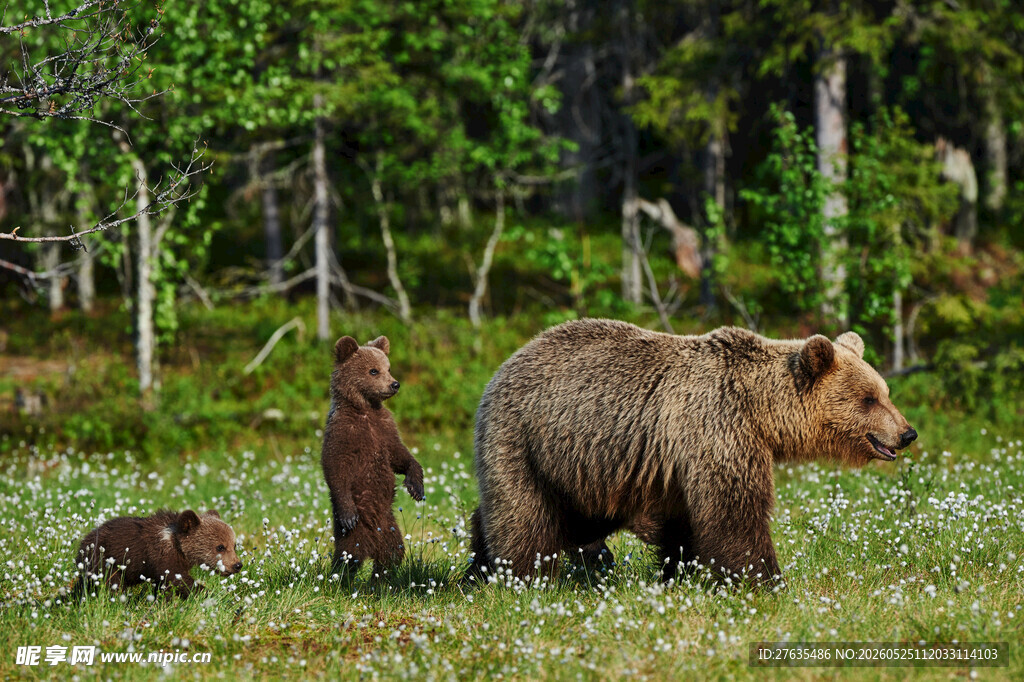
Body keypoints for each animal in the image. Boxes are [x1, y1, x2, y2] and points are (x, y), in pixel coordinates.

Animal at [72, 509, 241, 599]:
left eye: (234, 545)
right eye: (220, 547)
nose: (237, 565)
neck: (176, 546)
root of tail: (83, 542)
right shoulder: (161, 557)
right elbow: (178, 580)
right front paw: (209, 594)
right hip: (104, 561)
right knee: (112, 583)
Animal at [321, 335, 425, 576]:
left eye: (388, 368)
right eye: (373, 371)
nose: (394, 384)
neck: (365, 409)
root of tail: (372, 544)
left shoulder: (384, 428)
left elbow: (399, 455)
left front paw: (416, 486)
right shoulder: (343, 432)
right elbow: (335, 466)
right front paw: (348, 513)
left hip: (390, 526)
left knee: (392, 554)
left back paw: (379, 578)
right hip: (355, 532)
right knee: (349, 556)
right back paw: (340, 578)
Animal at [467, 319, 917, 585]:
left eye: (885, 392)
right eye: (869, 399)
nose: (907, 433)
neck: (760, 411)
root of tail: (505, 363)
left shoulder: (677, 459)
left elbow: (684, 522)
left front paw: (681, 572)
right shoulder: (717, 427)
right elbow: (735, 511)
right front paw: (765, 581)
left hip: (580, 469)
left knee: (571, 520)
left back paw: (478, 565)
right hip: (525, 440)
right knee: (525, 516)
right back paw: (521, 577)